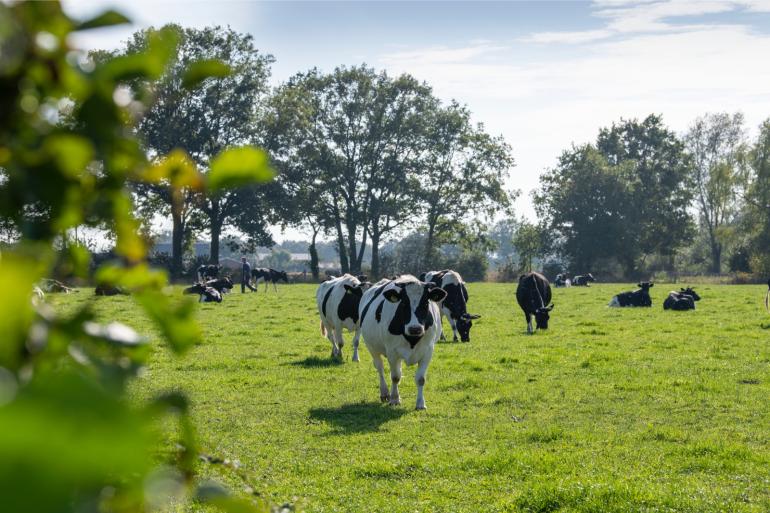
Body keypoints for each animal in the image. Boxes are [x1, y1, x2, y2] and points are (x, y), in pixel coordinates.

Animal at [358, 276, 448, 408]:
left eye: (426, 303)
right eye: (404, 303)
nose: (415, 328)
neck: (412, 339)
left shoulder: (428, 351)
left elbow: (420, 379)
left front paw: (420, 403)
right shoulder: (392, 352)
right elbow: (395, 377)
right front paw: (395, 399)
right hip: (372, 348)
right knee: (380, 368)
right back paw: (385, 393)